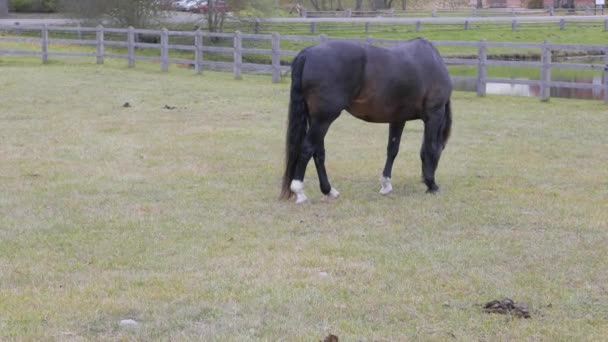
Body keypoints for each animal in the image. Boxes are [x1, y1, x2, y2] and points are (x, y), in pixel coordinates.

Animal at [280, 38, 452, 203]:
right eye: (443, 149)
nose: (426, 181)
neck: (432, 61)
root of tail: (308, 52)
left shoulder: (398, 118)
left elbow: (392, 149)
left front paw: (386, 185)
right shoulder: (434, 114)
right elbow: (429, 148)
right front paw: (432, 185)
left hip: (316, 119)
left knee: (318, 152)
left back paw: (329, 191)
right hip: (323, 119)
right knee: (307, 149)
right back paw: (299, 191)